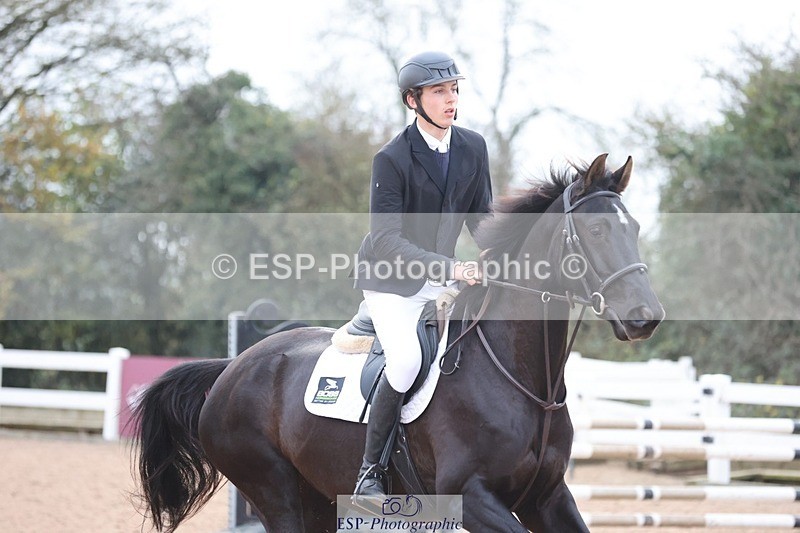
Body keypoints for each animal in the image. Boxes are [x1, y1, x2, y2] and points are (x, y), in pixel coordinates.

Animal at [131, 153, 664, 532]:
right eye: (596, 229)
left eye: (635, 228)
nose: (646, 319)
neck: (521, 378)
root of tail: (234, 366)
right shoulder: (471, 497)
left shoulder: (547, 498)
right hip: (274, 490)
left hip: (316, 497)